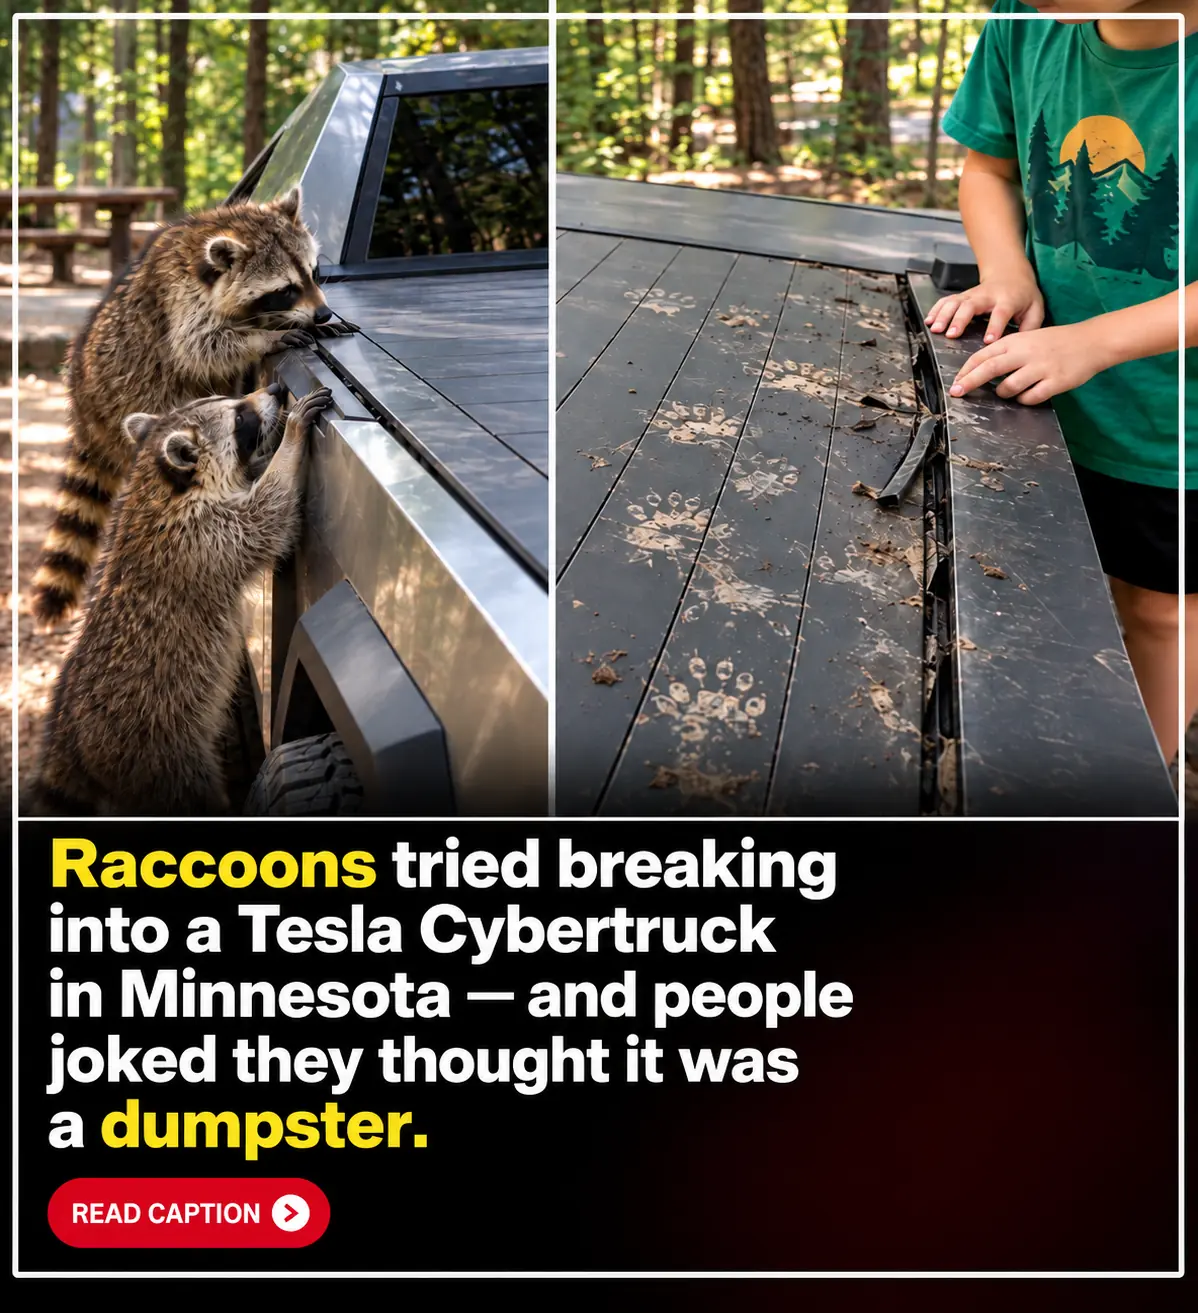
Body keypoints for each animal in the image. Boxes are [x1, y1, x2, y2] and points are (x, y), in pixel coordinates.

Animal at [28, 383, 333, 816]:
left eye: (231, 401)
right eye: (239, 417)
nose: (275, 388)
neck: (158, 484)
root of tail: (71, 743)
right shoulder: (199, 538)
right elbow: (266, 517)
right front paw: (289, 443)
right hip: (157, 754)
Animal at [31, 185, 352, 629]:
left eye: (315, 272)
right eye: (285, 289)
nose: (322, 312)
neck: (233, 227)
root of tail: (84, 408)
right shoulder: (180, 299)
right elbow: (199, 346)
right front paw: (268, 336)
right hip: (131, 391)